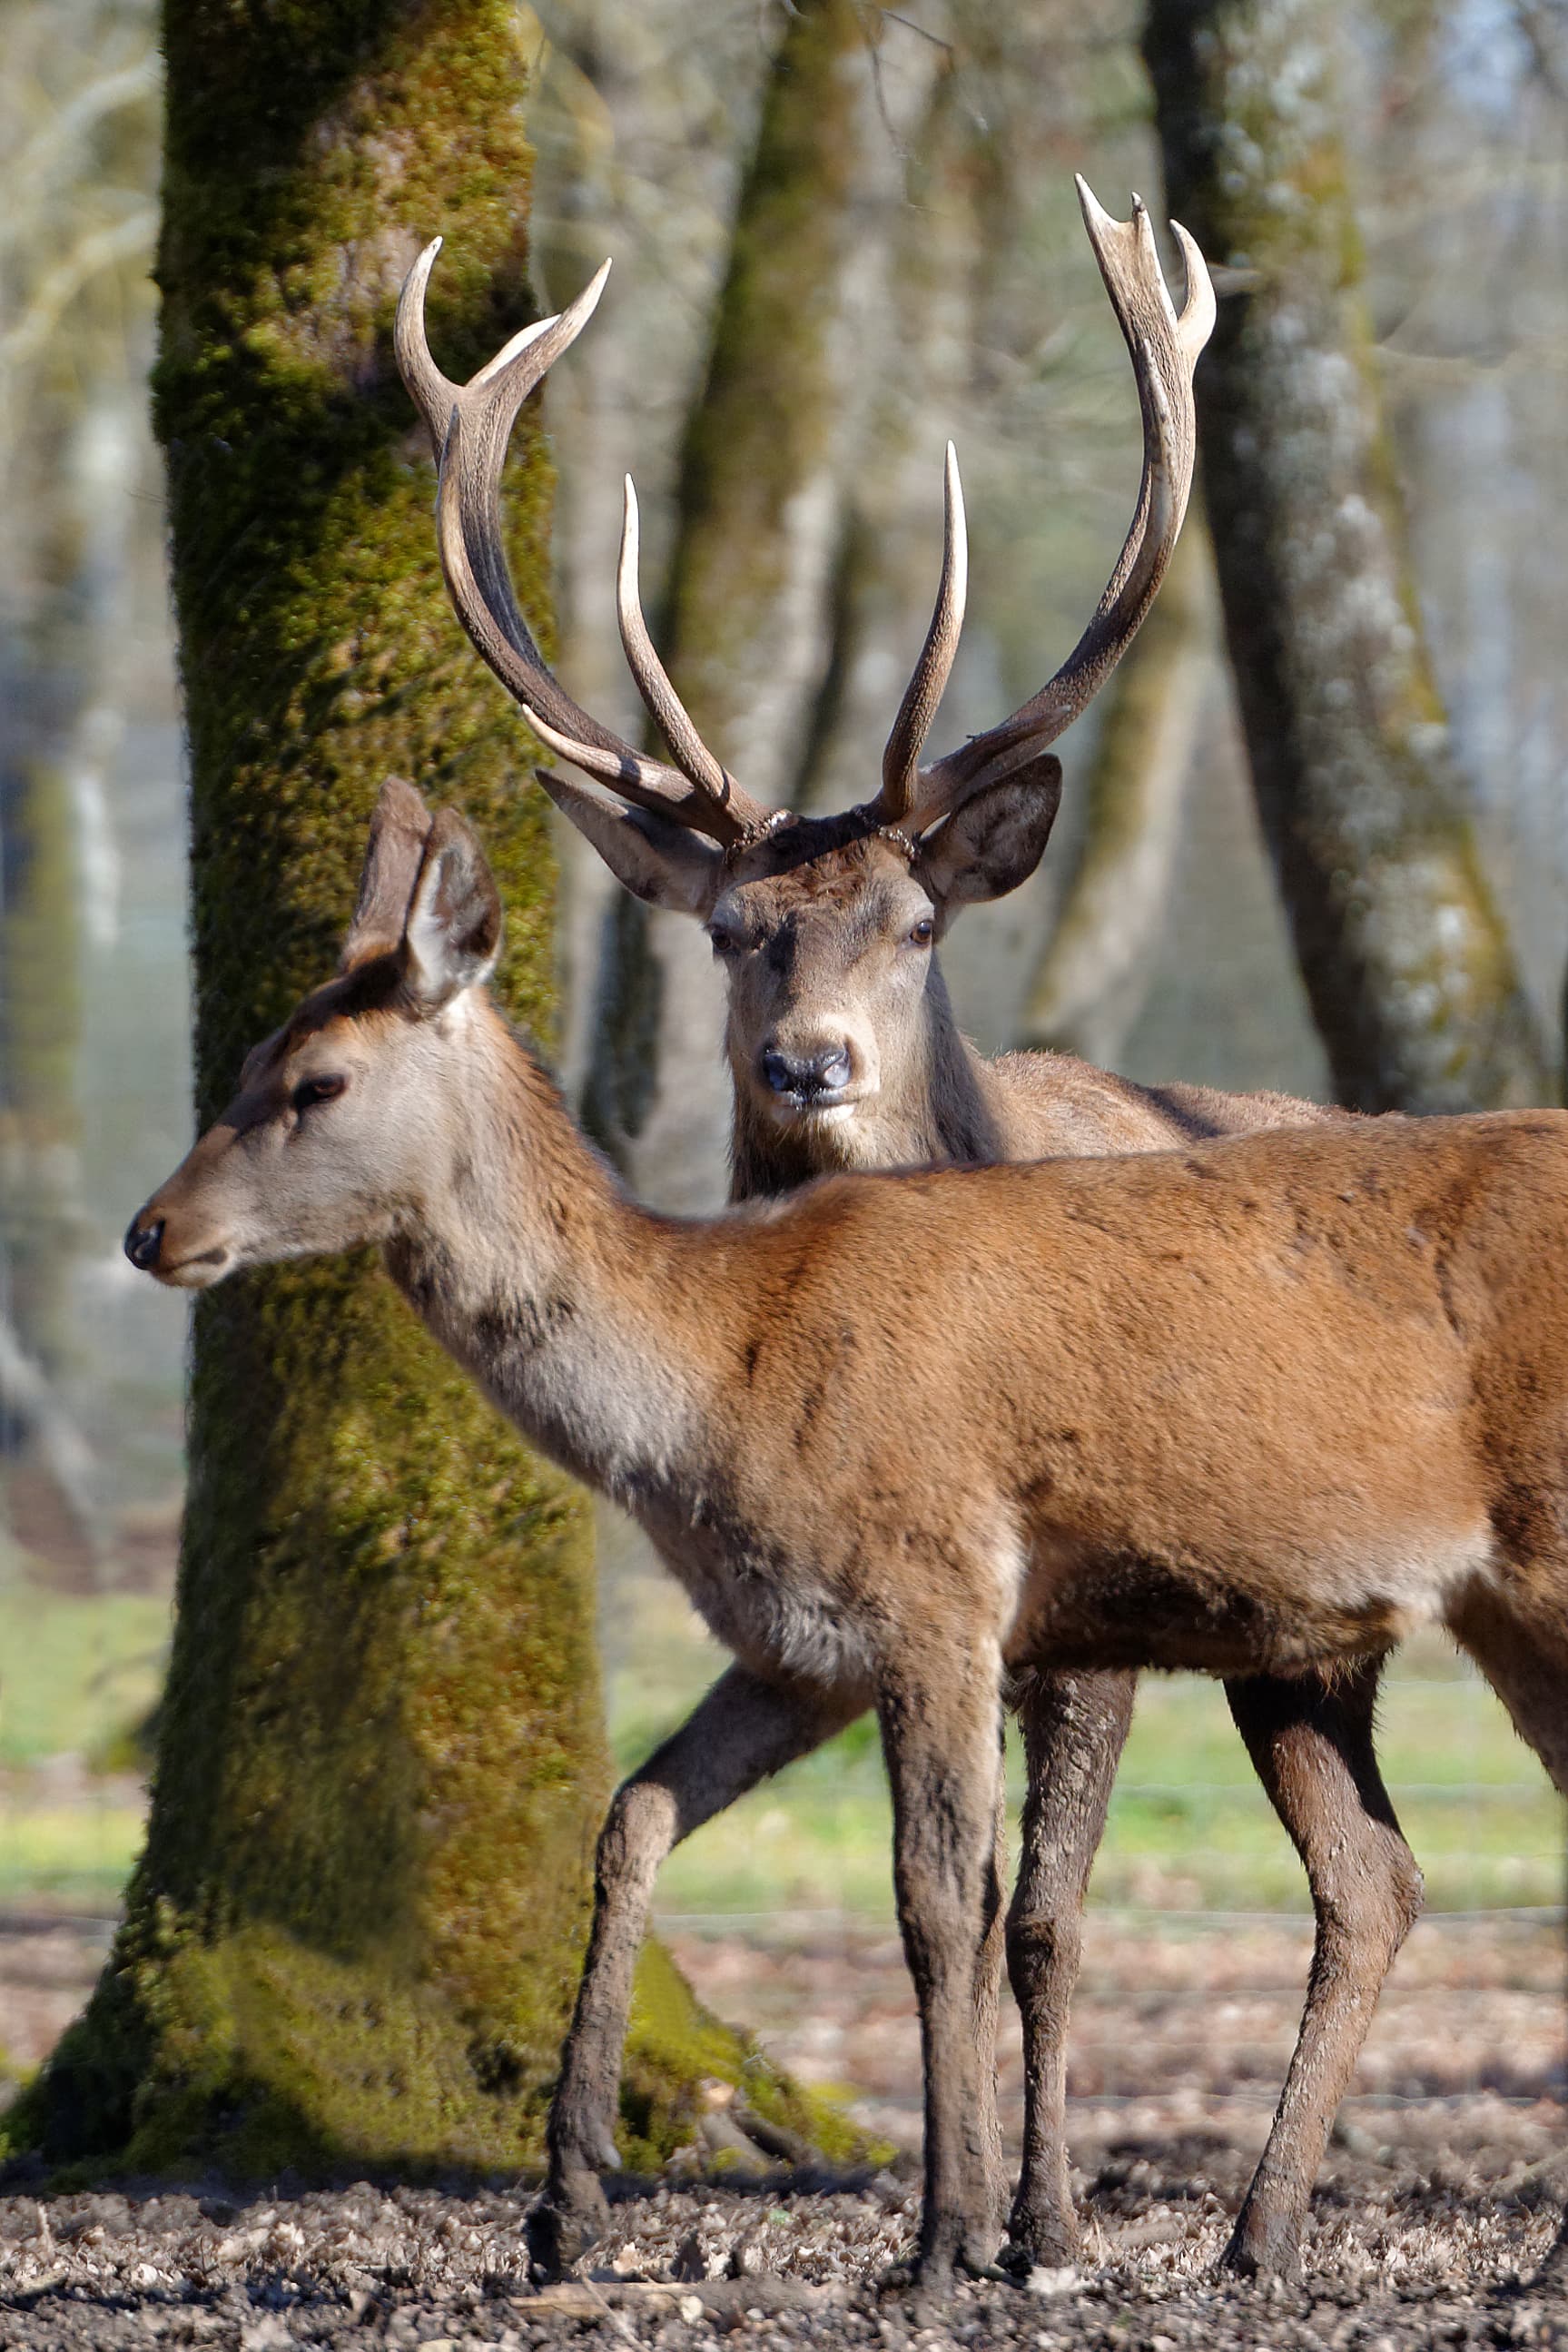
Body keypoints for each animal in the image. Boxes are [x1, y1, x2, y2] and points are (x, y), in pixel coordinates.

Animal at [123, 778, 1568, 2295]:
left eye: (316, 1084)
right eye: (244, 1054)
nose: (150, 1230)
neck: (716, 1376)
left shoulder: (934, 1589)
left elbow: (940, 1900)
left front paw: (946, 2235)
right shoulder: (797, 1642)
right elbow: (633, 1815)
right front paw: (565, 2202)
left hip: (1529, 1561)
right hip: (1332, 1637)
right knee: (1373, 1877)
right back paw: (1260, 2235)